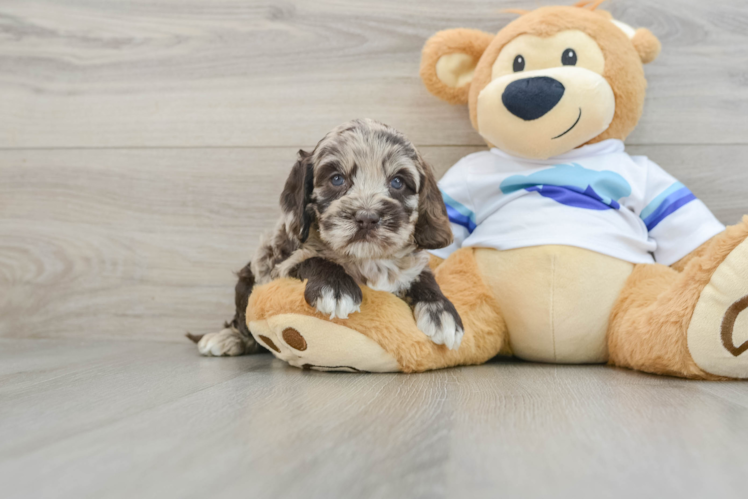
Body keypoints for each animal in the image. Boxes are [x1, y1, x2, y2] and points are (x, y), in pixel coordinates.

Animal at [190, 119, 462, 358]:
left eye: (397, 182)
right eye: (337, 179)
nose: (367, 217)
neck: (367, 259)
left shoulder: (411, 265)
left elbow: (422, 276)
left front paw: (441, 311)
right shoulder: (278, 267)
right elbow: (311, 259)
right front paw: (336, 288)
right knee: (243, 322)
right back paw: (227, 339)